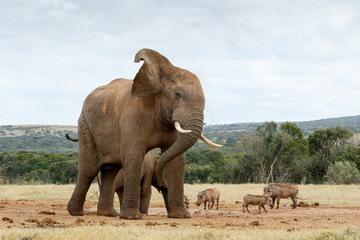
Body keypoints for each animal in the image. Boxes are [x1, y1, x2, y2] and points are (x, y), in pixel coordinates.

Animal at [66, 48, 221, 219]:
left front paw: (181, 216)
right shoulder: (133, 117)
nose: (162, 181)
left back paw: (108, 214)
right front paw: (132, 217)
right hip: (86, 125)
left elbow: (177, 160)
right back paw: (76, 213)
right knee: (89, 169)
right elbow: (134, 157)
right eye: (177, 94)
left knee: (110, 171)